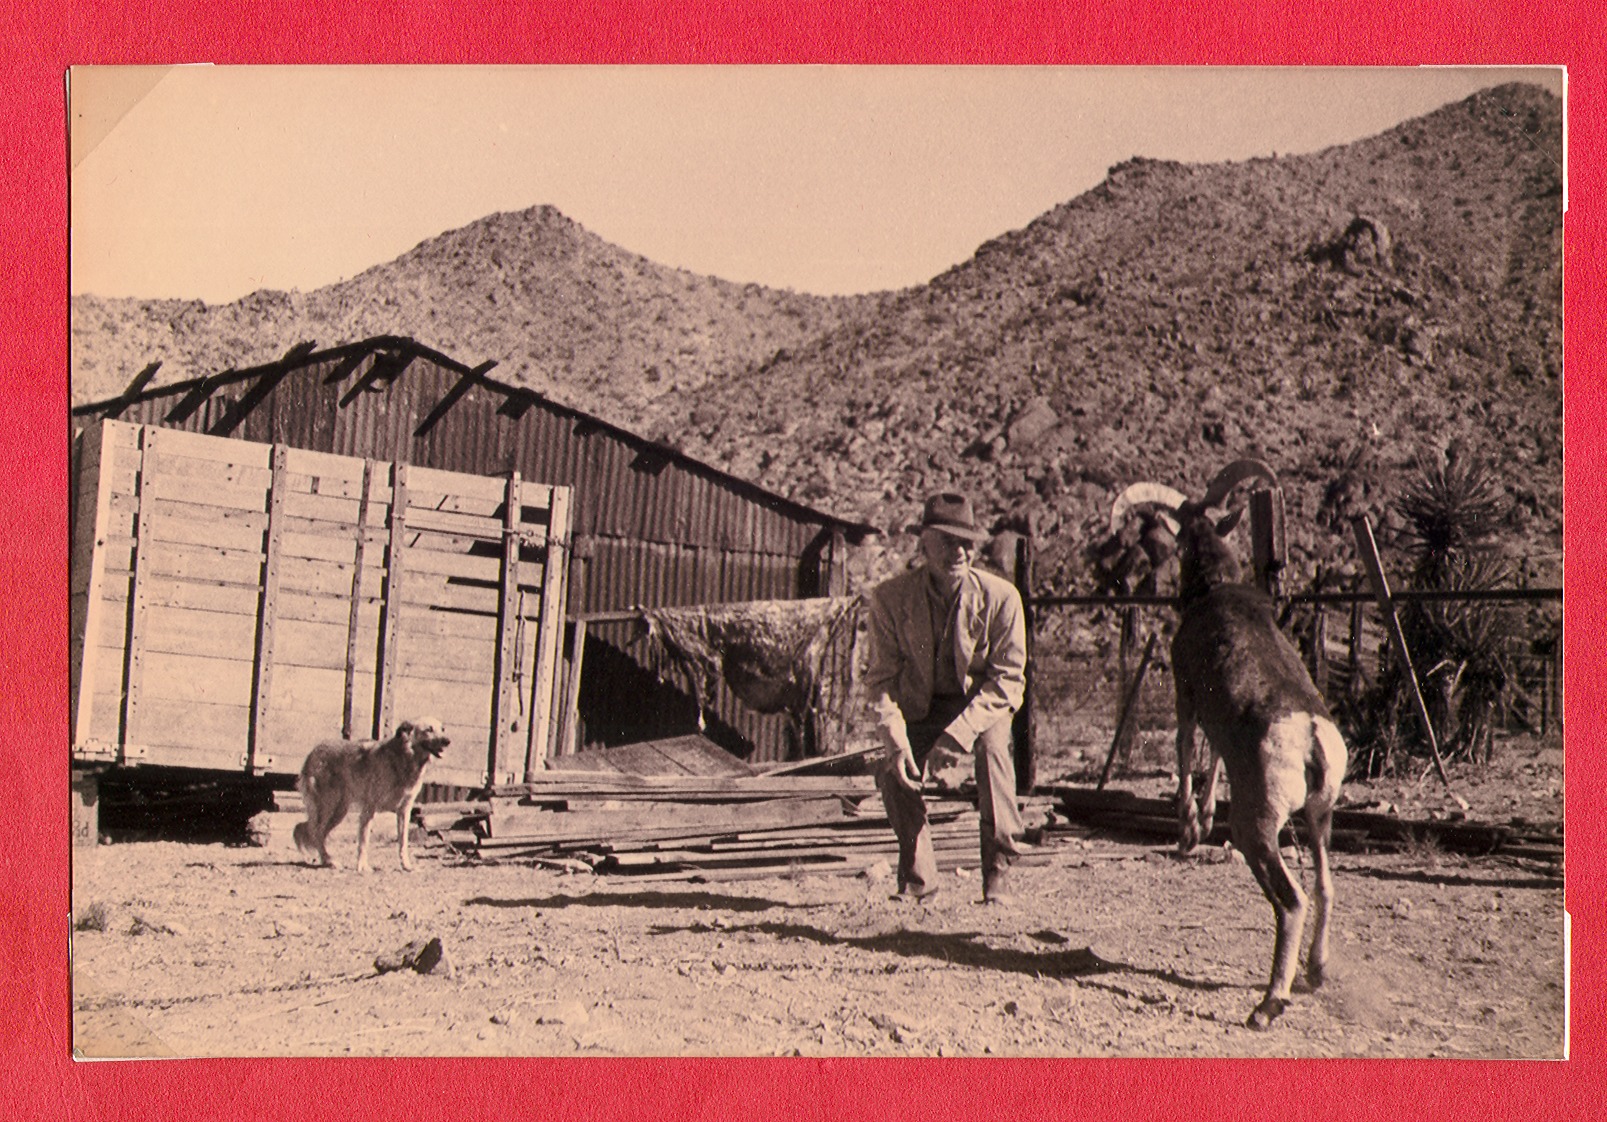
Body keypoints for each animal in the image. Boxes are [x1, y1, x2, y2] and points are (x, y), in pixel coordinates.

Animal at [290, 720, 449, 868]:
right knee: (315, 832)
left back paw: (325, 860)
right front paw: (362, 867)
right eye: (429, 729)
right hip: (328, 807)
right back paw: (328, 860)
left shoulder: (404, 811)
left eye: (442, 729)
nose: (447, 741)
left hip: (338, 812)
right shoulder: (369, 809)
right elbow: (364, 841)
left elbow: (403, 842)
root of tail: (314, 752)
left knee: (308, 829)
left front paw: (406, 866)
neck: (404, 759)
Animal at [1118, 459, 1356, 1028]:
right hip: (1319, 819)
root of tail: (1310, 741)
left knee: (1291, 900)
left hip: (1258, 831)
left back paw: (1268, 1005)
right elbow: (1215, 763)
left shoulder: (1186, 697)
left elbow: (1187, 752)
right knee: (1324, 885)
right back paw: (1315, 974)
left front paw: (1189, 830)